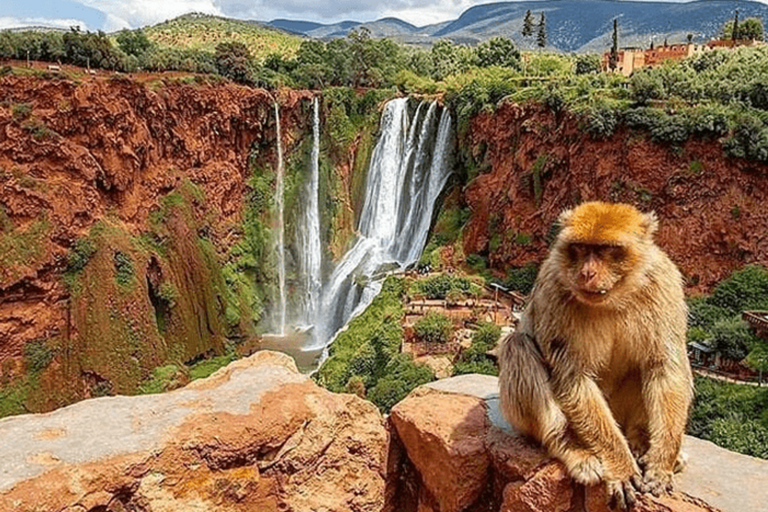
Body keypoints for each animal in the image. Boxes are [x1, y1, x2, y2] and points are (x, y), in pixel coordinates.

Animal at [498, 202, 696, 510]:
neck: (615, 297)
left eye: (605, 250)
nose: (586, 273)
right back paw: (573, 448)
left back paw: (641, 442)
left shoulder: (664, 283)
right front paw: (621, 467)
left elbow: (664, 368)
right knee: (516, 345)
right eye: (580, 248)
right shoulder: (554, 287)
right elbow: (573, 378)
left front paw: (662, 462)